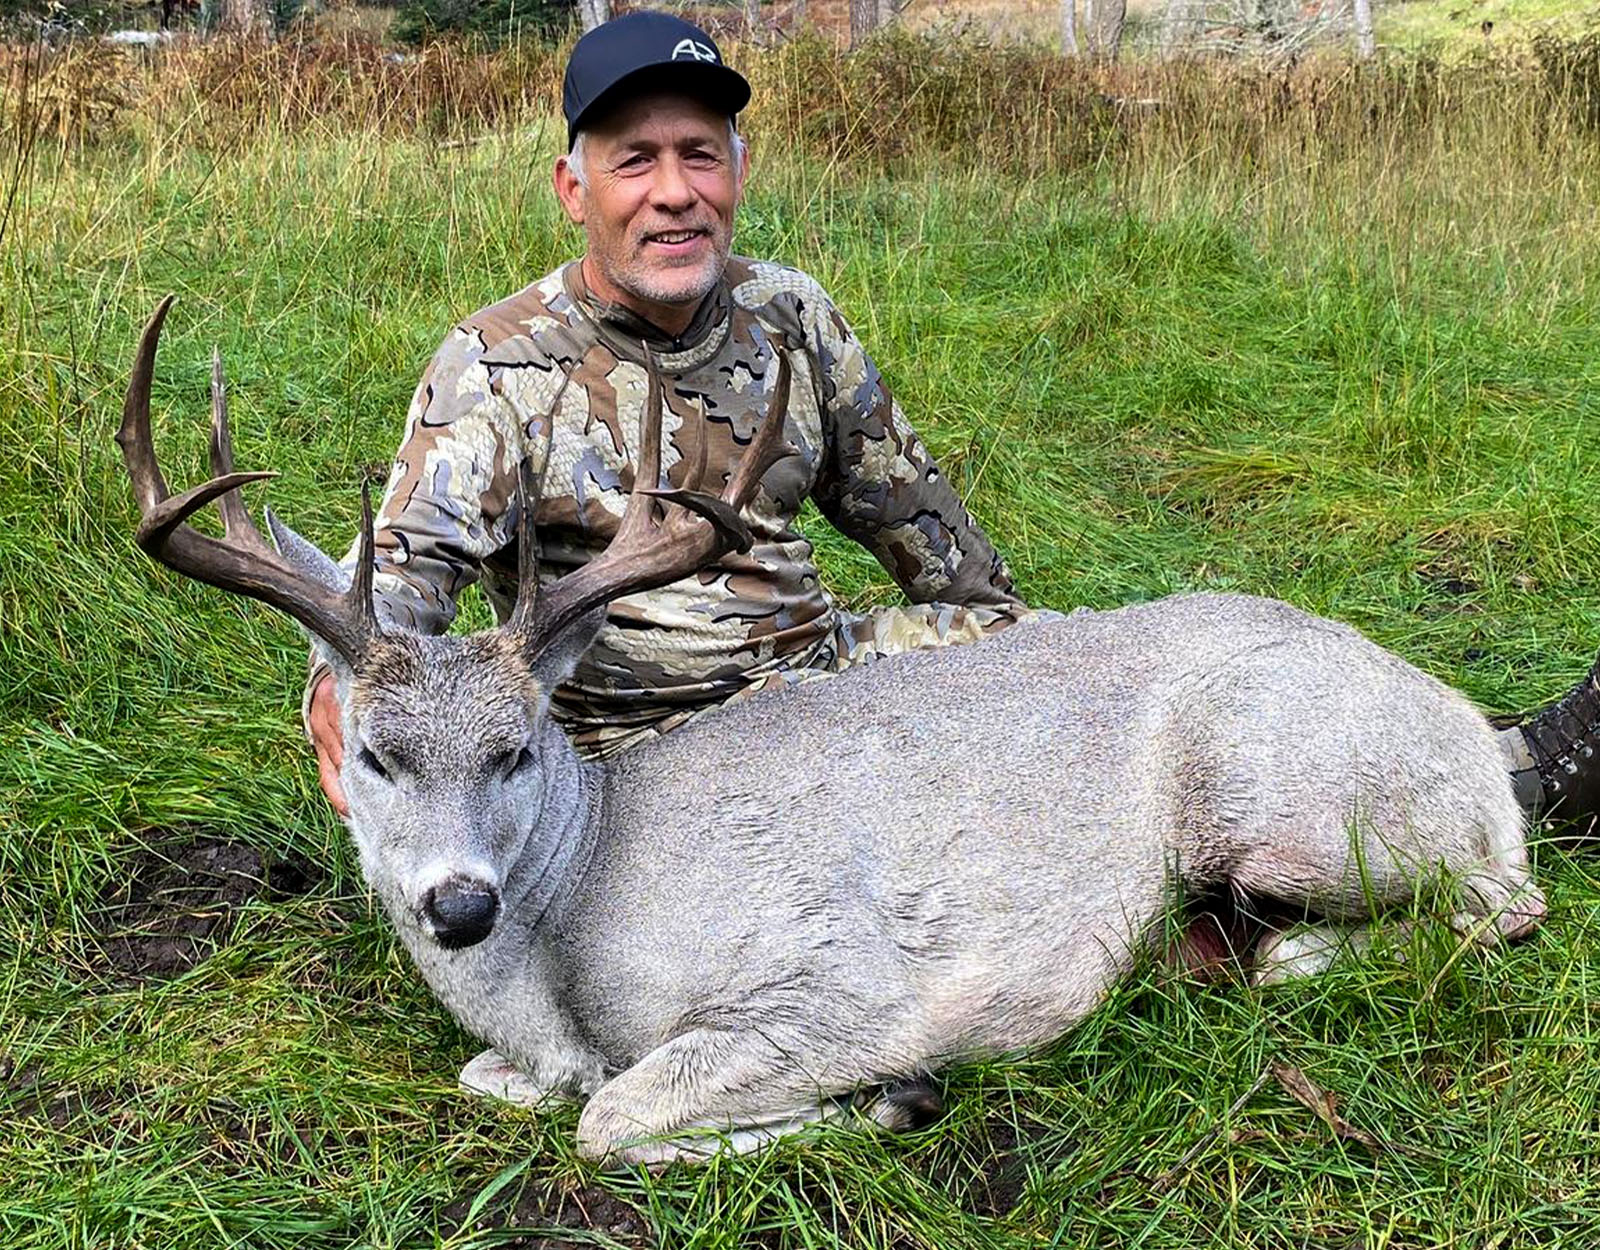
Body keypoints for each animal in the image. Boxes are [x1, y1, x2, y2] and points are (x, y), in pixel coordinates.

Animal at [121, 297, 1548, 1165]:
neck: (571, 919)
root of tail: (1466, 725)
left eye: (516, 746)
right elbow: (520, 1087)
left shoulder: (828, 979)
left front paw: (888, 1098)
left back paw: (1286, 953)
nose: (456, 903)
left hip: (1292, 797)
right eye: (373, 753)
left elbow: (613, 1114)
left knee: (1504, 898)